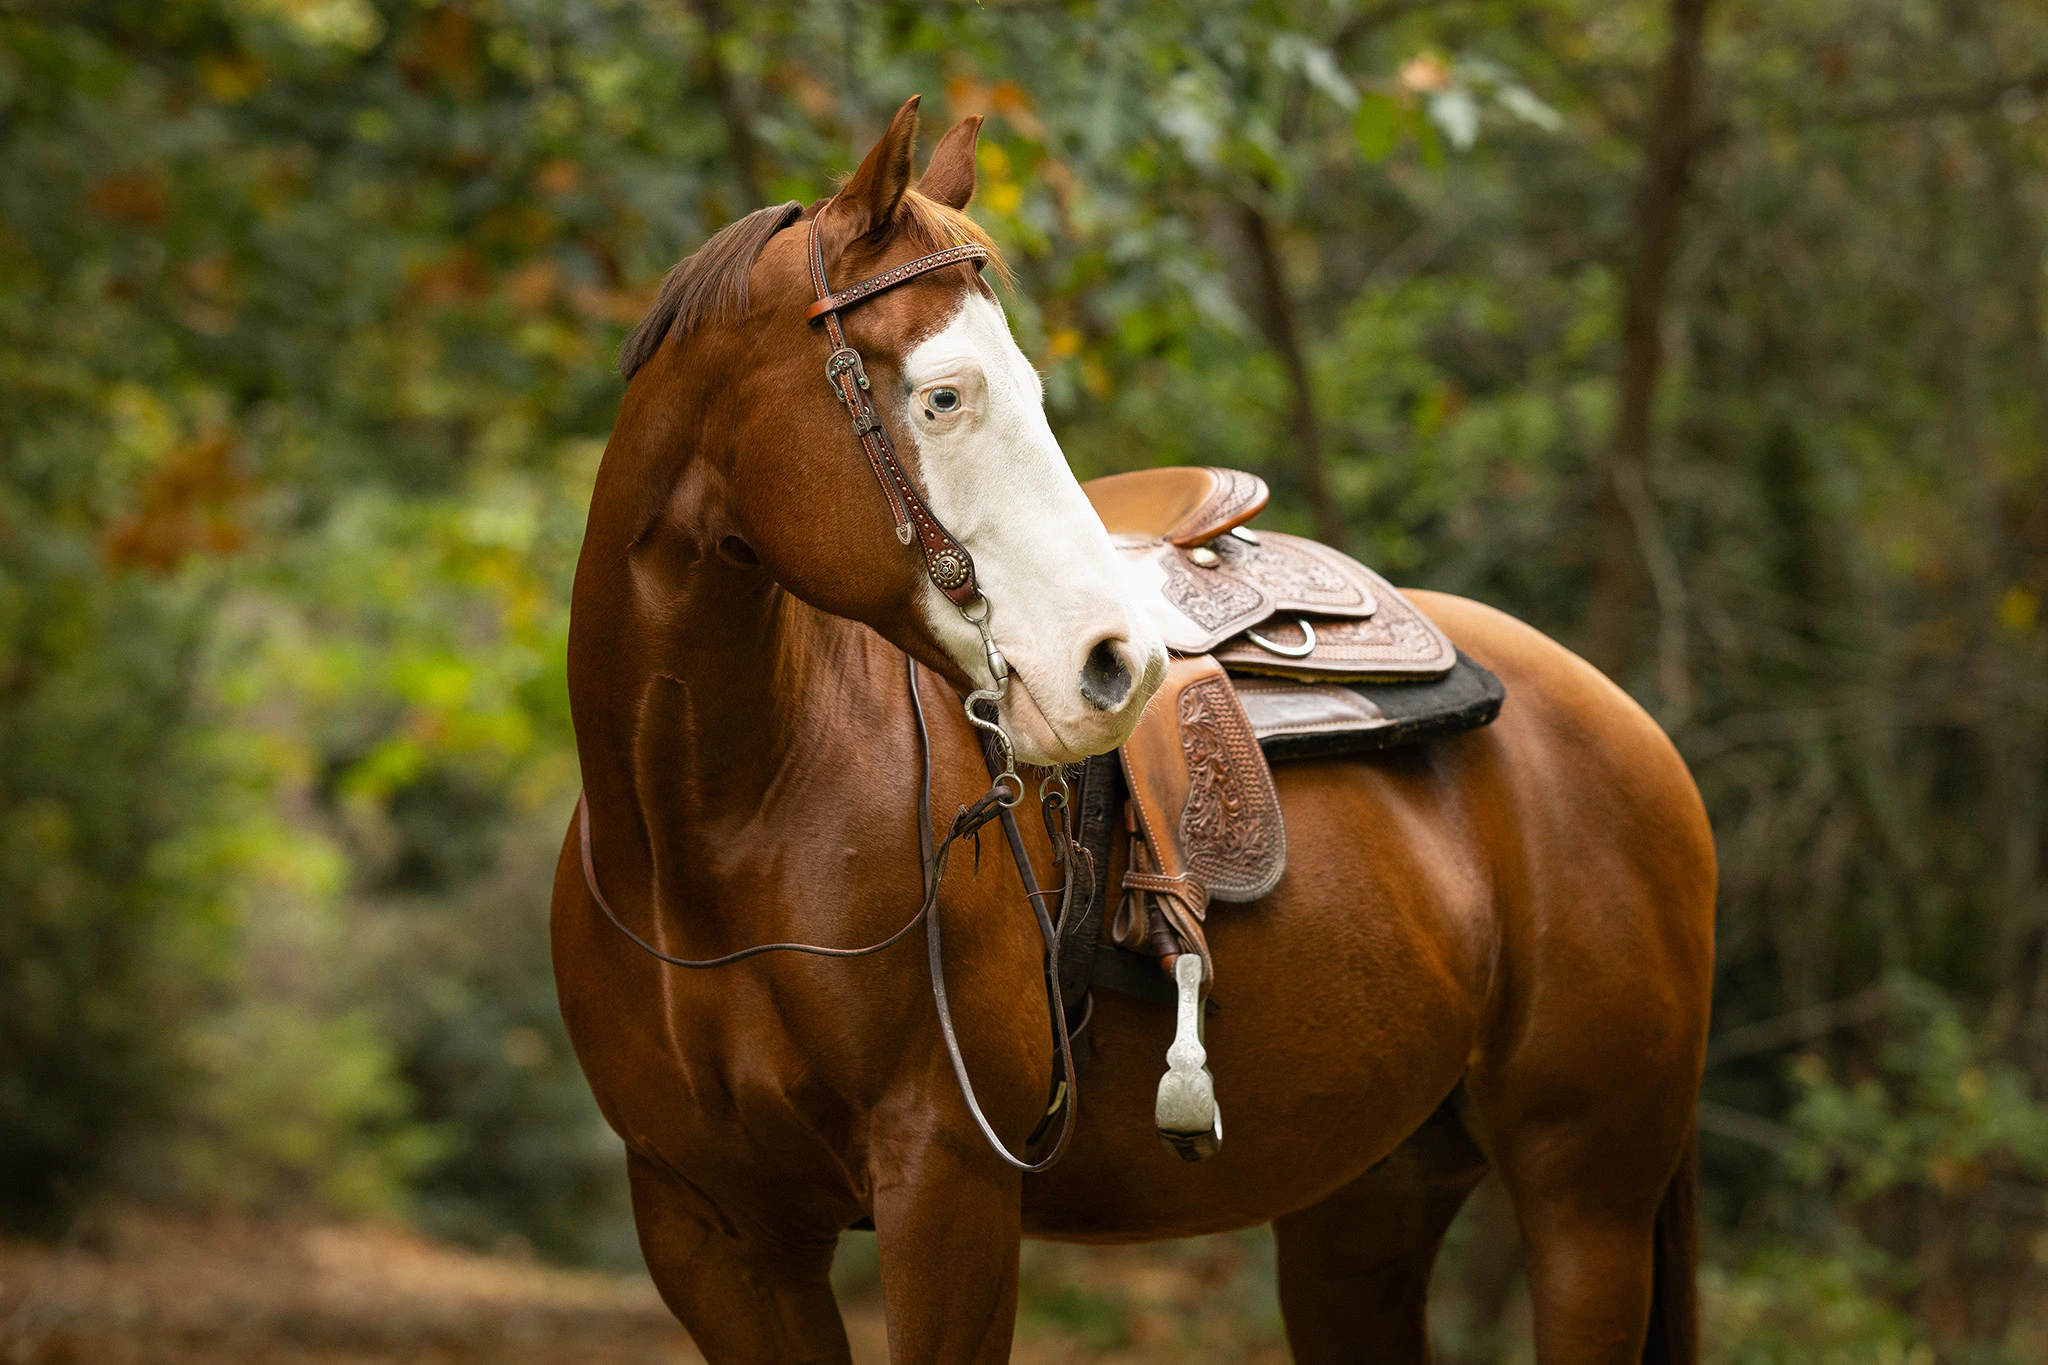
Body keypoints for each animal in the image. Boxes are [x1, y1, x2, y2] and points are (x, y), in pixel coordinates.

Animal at [552, 96, 1716, 1364]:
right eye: (942, 396)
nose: (1118, 667)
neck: (716, 835)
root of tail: (1619, 720)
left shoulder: (947, 1189)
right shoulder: (711, 1232)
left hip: (1586, 1203)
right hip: (1364, 1205)